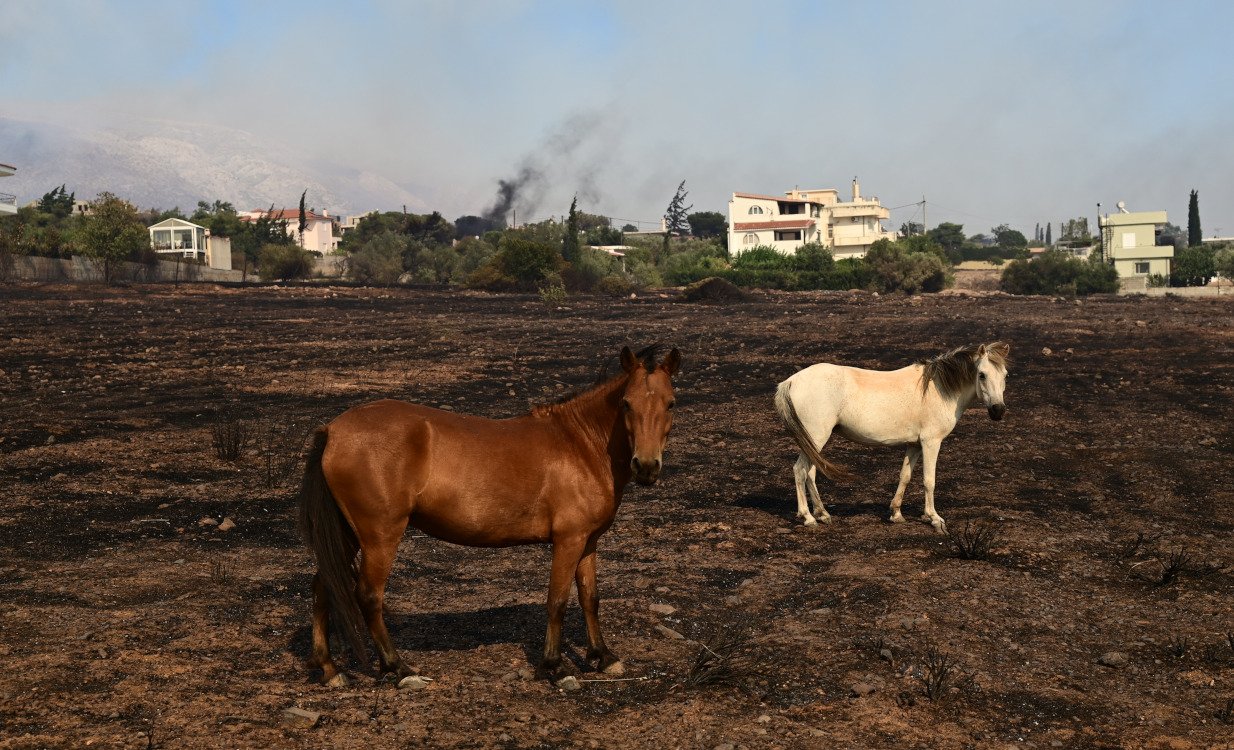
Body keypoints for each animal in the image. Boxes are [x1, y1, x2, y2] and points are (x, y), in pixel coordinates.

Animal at [299, 345, 686, 685]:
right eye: (626, 403)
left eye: (670, 403)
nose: (646, 466)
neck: (581, 443)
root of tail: (333, 431)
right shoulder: (568, 540)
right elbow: (557, 601)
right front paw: (555, 668)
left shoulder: (588, 540)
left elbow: (590, 597)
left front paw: (603, 657)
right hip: (380, 536)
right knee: (368, 595)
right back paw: (400, 670)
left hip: (350, 534)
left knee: (323, 585)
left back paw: (330, 670)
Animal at [774, 342, 1006, 530]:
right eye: (982, 374)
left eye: (1005, 375)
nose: (998, 410)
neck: (939, 388)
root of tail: (791, 381)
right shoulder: (931, 442)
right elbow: (929, 480)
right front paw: (933, 517)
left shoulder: (914, 445)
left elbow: (905, 476)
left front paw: (896, 513)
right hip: (816, 438)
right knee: (800, 470)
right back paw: (808, 518)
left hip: (812, 442)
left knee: (811, 472)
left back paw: (822, 514)